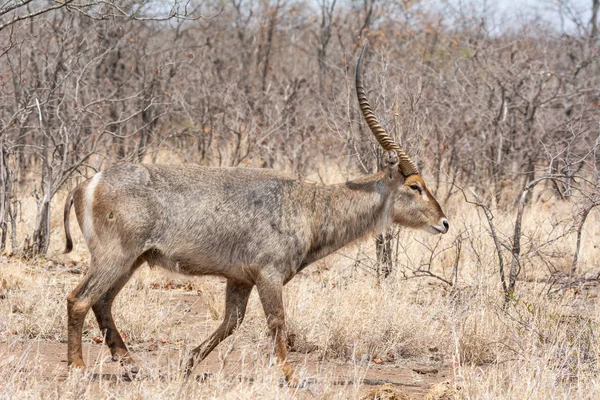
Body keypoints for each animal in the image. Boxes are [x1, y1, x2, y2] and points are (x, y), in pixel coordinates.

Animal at [63, 43, 448, 382]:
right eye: (415, 185)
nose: (443, 222)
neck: (310, 204)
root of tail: (86, 184)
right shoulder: (268, 274)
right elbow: (276, 321)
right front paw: (290, 376)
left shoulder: (240, 279)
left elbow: (230, 322)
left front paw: (189, 364)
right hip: (115, 257)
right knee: (79, 300)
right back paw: (78, 367)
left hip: (133, 261)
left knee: (102, 302)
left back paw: (129, 362)